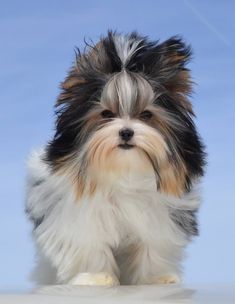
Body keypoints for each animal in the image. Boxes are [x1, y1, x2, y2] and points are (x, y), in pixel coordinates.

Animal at [26, 30, 206, 284]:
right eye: (106, 113)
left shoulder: (160, 216)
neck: (124, 169)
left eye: (146, 114)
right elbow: (90, 245)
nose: (126, 132)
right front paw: (97, 277)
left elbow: (153, 247)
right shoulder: (80, 218)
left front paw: (155, 279)